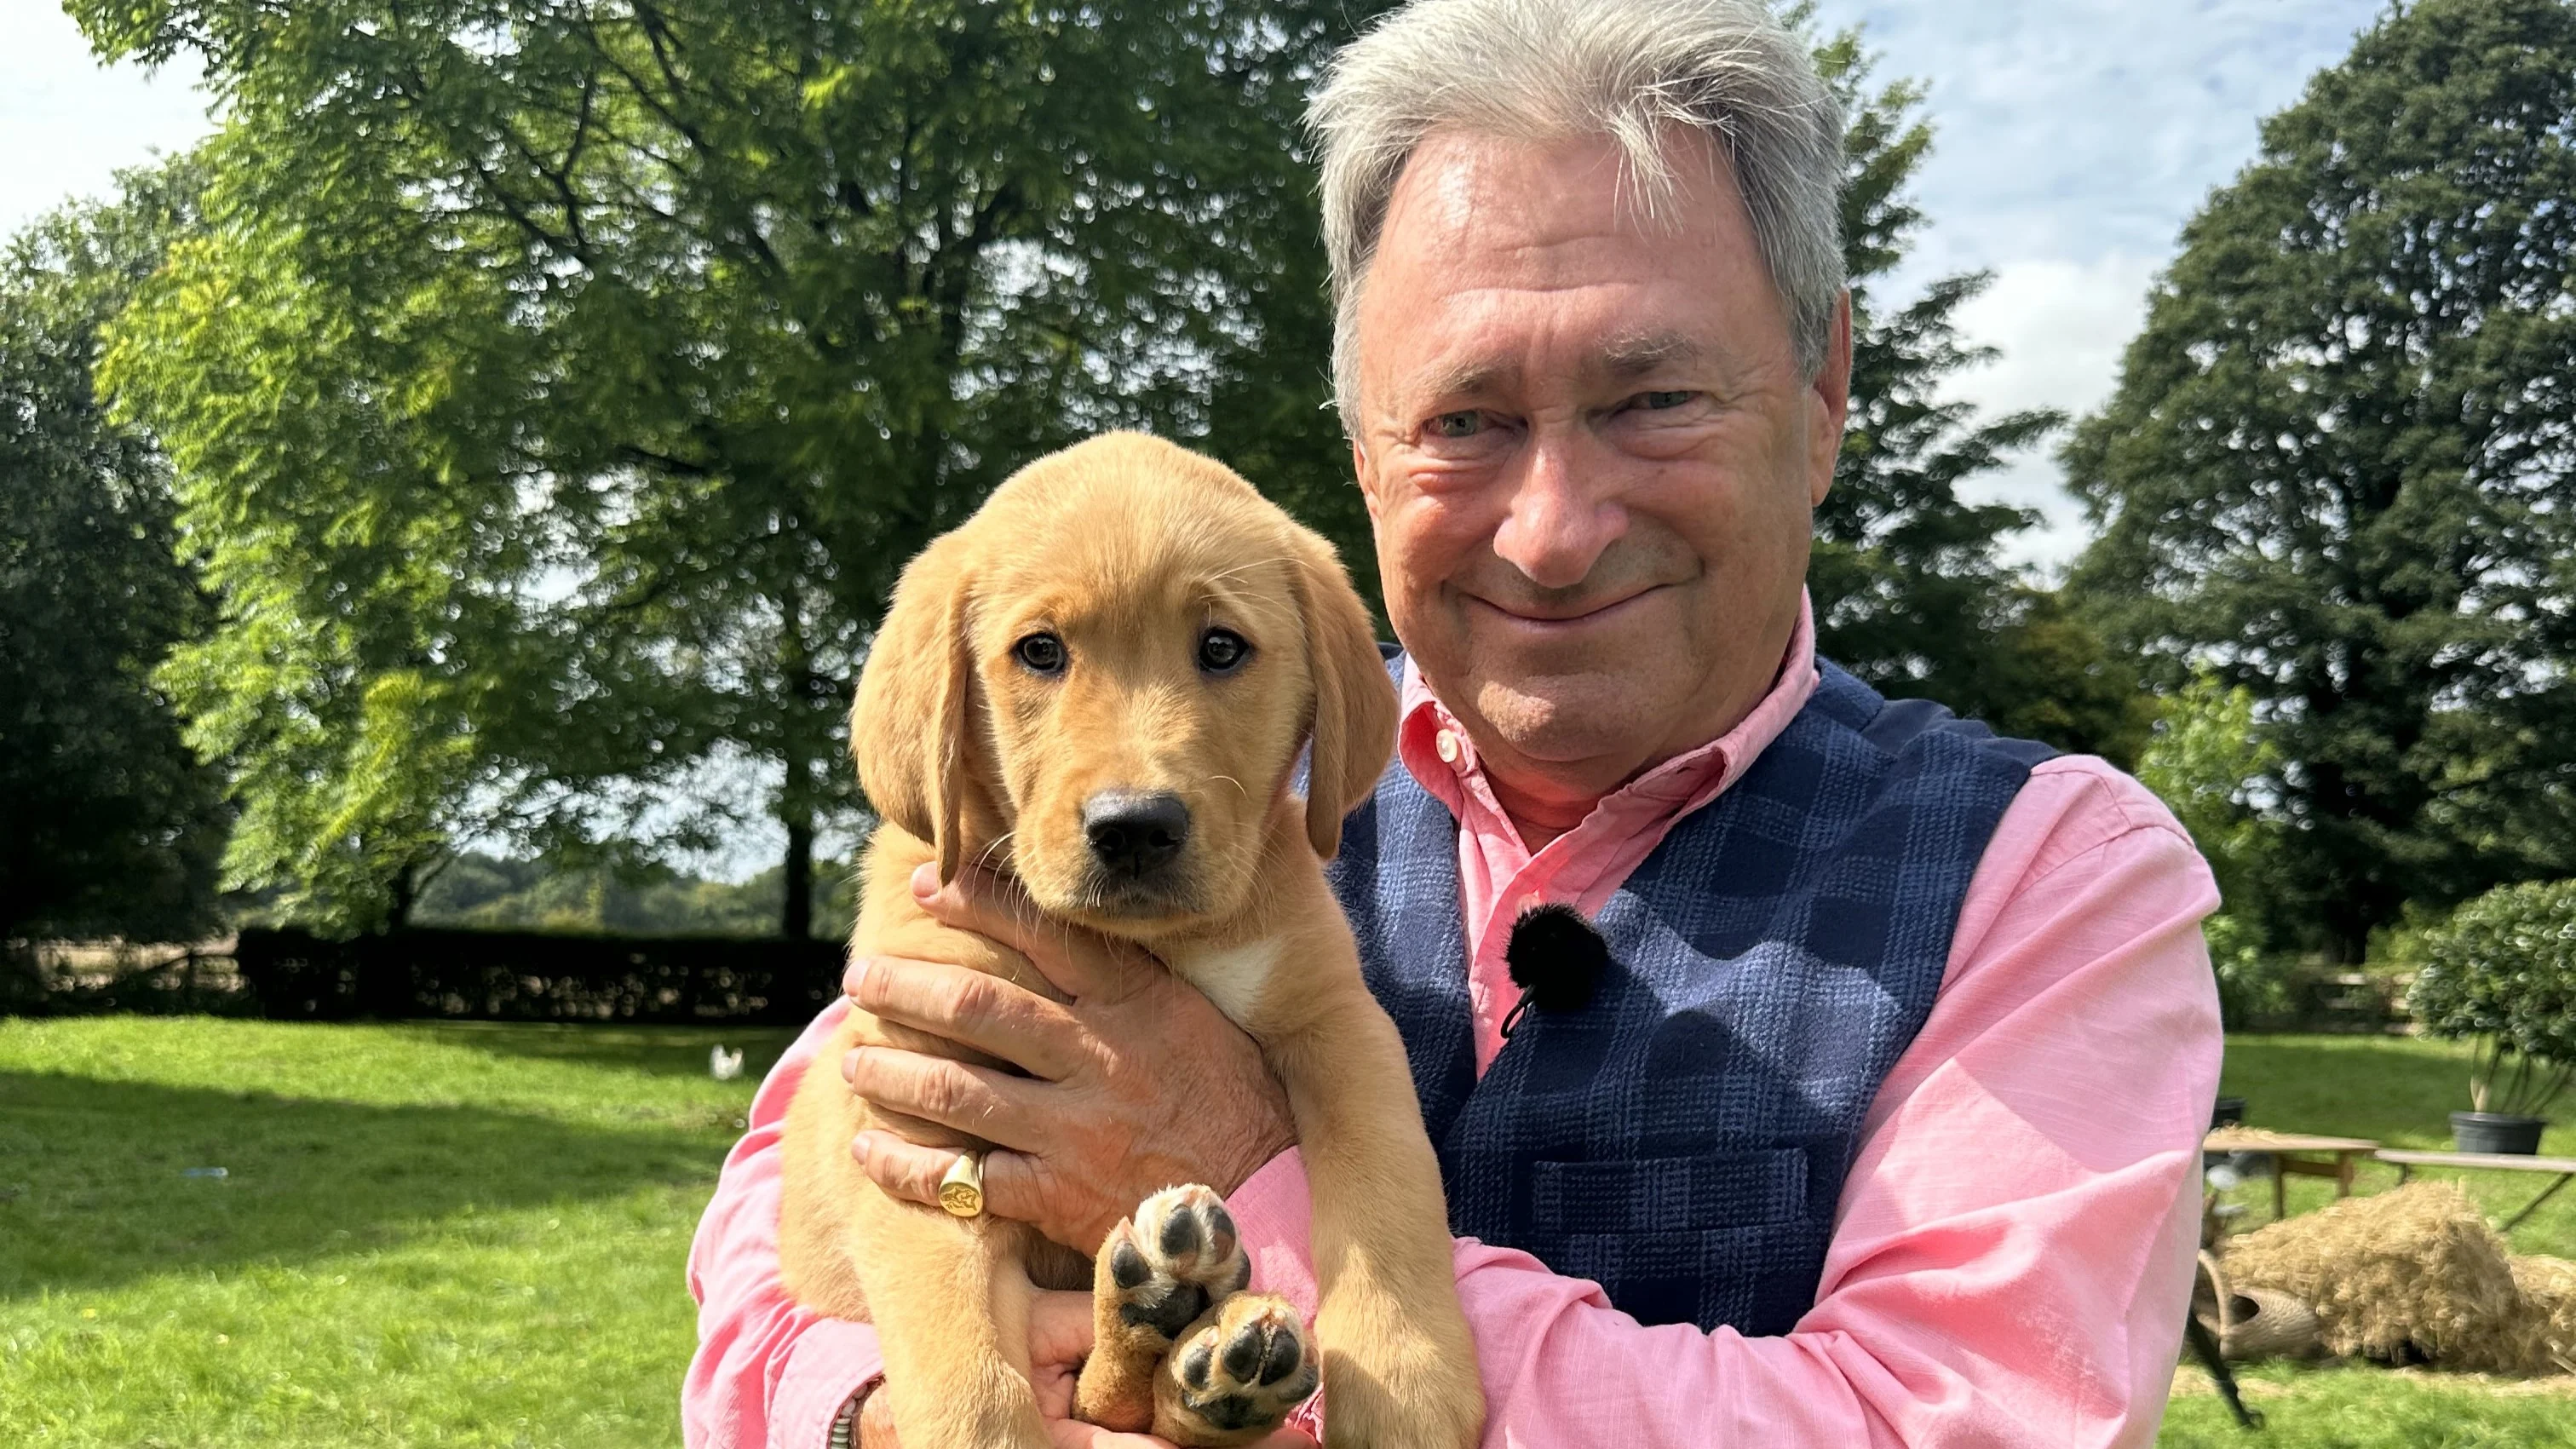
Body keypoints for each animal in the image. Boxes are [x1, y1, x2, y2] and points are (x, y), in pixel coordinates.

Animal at [773, 430, 1483, 1443]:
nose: (1135, 827)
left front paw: (1406, 1378)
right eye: (1040, 651)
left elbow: (1387, 1182)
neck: (1152, 943)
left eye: (1222, 647)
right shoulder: (917, 1136)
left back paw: (1211, 1356)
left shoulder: (1338, 1022)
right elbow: (964, 1372)